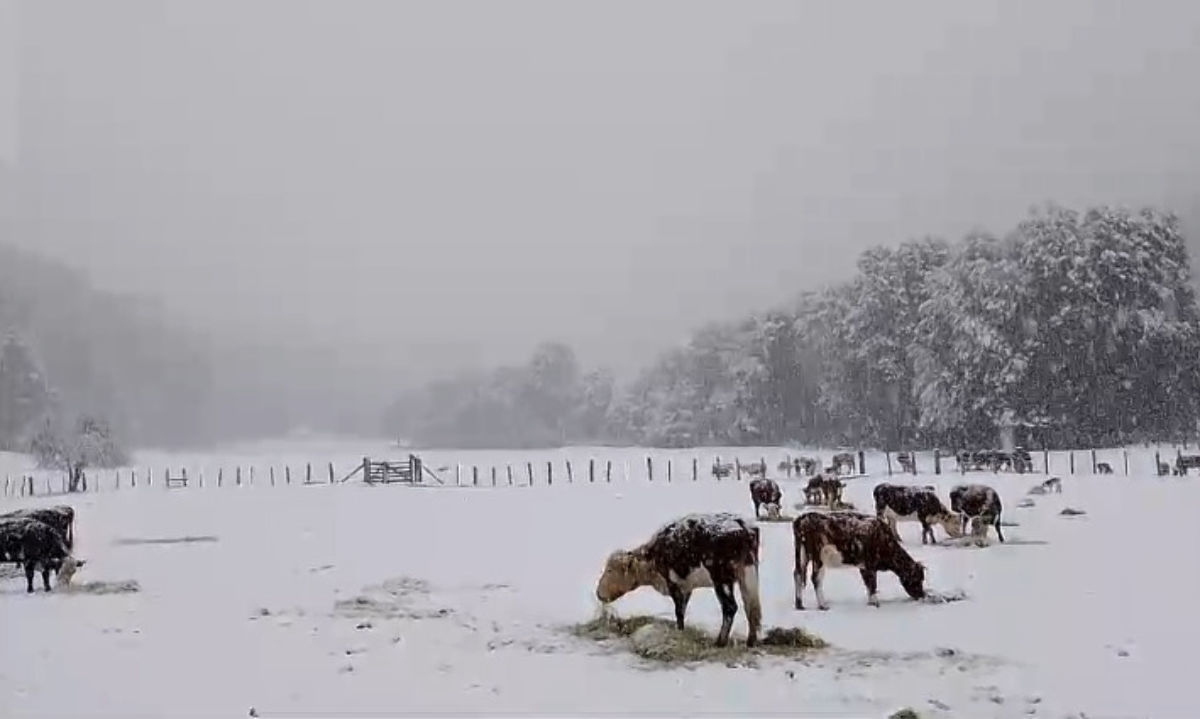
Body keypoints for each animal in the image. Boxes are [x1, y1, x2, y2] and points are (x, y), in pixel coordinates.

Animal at [597, 511, 763, 648]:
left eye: (610, 570)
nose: (599, 593)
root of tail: (742, 526)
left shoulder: (673, 584)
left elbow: (679, 611)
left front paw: (679, 632)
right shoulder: (686, 587)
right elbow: (682, 609)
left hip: (722, 579)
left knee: (730, 607)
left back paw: (720, 642)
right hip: (748, 574)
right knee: (751, 607)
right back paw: (751, 642)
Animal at [787, 508, 926, 609]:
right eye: (917, 579)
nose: (921, 595)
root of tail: (803, 518)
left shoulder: (863, 566)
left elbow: (868, 585)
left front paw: (870, 602)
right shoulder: (870, 565)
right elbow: (872, 584)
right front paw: (876, 604)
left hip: (802, 555)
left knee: (797, 574)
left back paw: (799, 605)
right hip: (818, 557)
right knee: (816, 578)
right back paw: (823, 605)